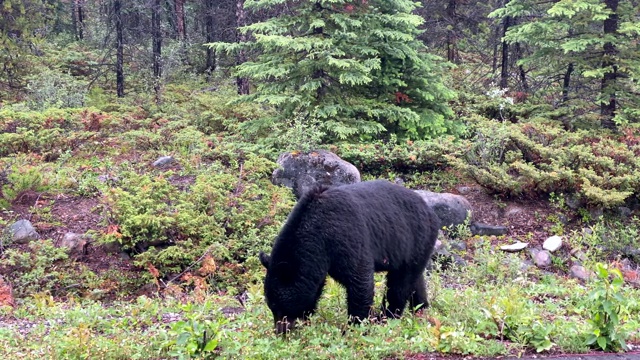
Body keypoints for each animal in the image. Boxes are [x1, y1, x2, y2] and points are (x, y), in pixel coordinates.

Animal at [258, 179, 438, 334]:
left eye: (279, 306)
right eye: (271, 306)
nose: (281, 332)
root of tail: (429, 209)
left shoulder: (344, 237)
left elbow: (359, 279)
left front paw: (355, 326)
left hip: (415, 238)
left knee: (399, 284)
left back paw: (387, 317)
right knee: (415, 279)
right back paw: (421, 308)